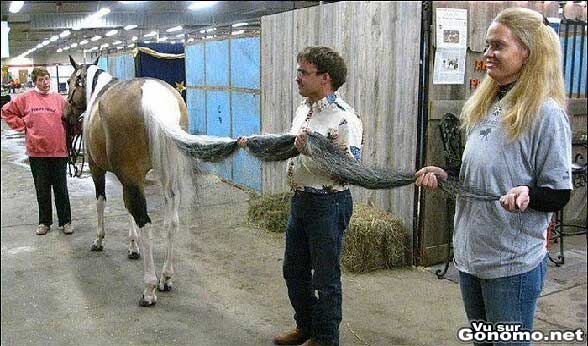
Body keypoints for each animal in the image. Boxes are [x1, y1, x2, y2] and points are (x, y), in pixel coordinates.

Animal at [63, 55, 238, 306]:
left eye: (70, 82)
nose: (65, 115)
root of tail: (153, 96)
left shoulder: (100, 170)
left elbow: (102, 203)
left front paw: (99, 240)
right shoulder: (129, 178)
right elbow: (129, 211)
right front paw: (132, 246)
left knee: (146, 221)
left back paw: (149, 289)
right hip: (167, 175)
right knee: (171, 222)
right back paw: (165, 277)